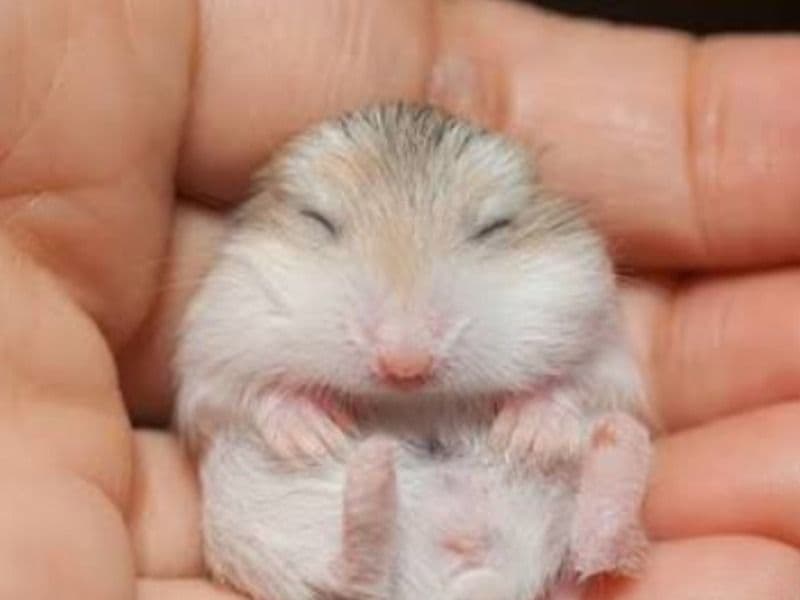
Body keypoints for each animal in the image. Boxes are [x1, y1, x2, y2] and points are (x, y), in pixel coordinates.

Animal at [174, 103, 653, 600]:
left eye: (494, 227)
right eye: (318, 219)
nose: (404, 365)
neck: (416, 400)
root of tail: (473, 583)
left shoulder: (606, 346)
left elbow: (576, 384)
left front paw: (526, 434)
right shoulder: (209, 356)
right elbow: (248, 393)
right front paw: (315, 435)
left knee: (593, 554)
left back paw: (617, 444)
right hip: (249, 529)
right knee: (348, 575)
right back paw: (373, 471)